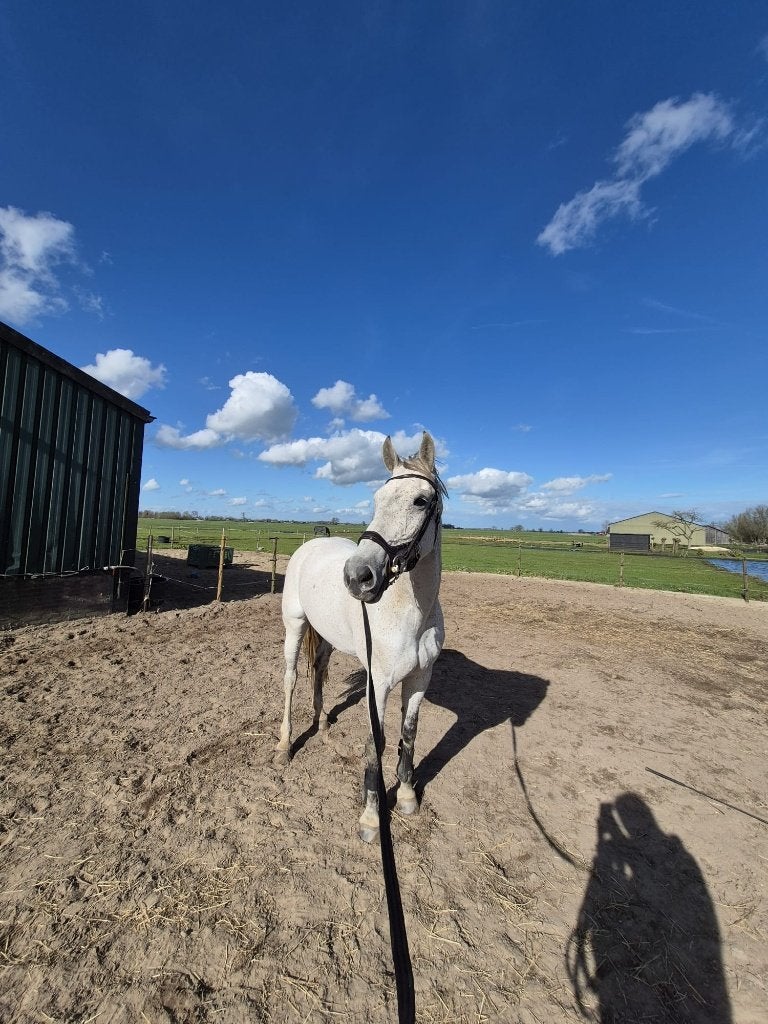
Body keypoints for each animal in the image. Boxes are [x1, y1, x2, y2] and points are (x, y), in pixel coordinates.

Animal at [275, 431, 447, 842]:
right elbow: (375, 743)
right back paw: (285, 746)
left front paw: (406, 797)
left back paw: (322, 724)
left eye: (420, 500)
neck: (410, 616)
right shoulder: (377, 685)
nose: (358, 576)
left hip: (326, 637)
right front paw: (371, 818)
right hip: (294, 626)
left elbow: (409, 735)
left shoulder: (420, 679)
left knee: (319, 672)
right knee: (290, 679)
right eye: (377, 499)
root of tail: (311, 545)